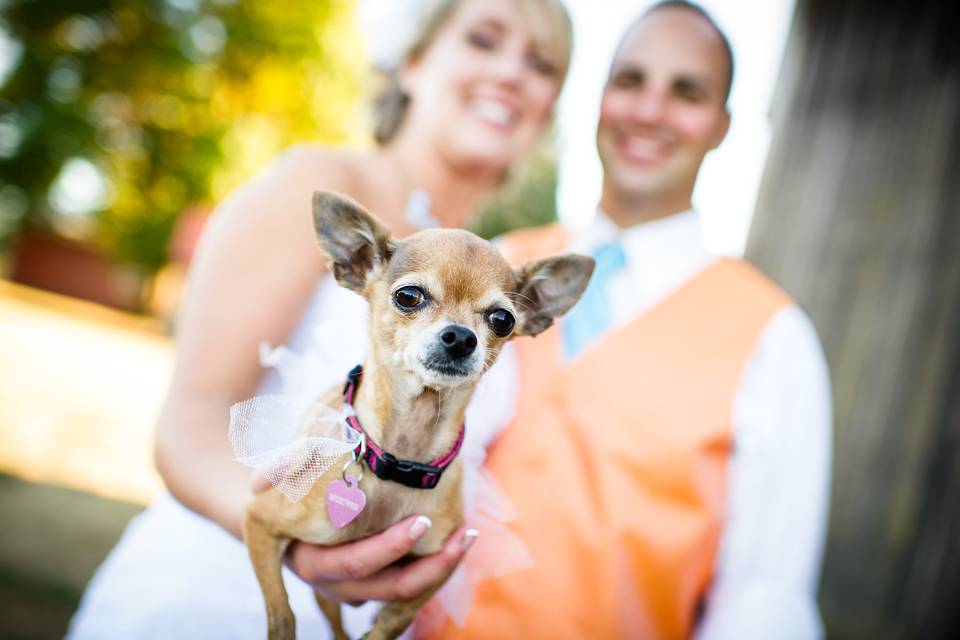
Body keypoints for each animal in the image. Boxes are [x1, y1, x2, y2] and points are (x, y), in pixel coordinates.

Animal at [246, 191, 592, 640]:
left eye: (502, 319)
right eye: (409, 296)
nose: (461, 337)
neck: (401, 456)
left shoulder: (437, 567)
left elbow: (394, 619)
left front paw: (377, 630)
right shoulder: (258, 521)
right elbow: (281, 612)